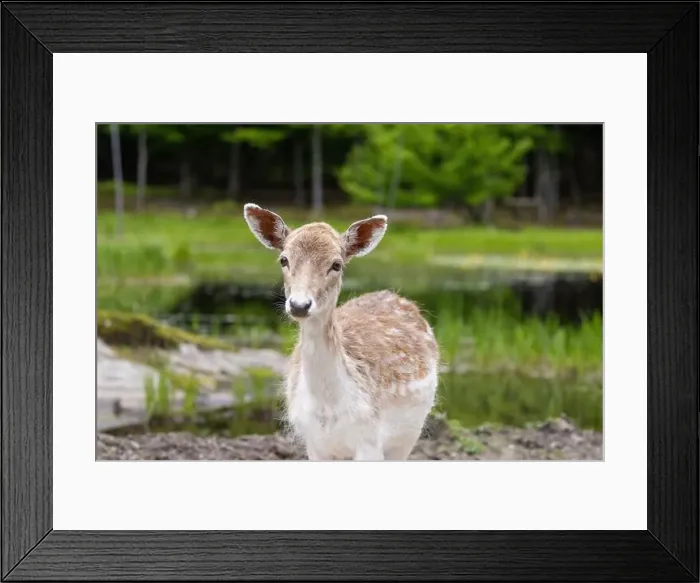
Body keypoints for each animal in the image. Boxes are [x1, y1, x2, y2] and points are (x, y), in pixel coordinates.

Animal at [243, 203, 440, 461]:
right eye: (283, 259)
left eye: (336, 264)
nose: (299, 305)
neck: (330, 411)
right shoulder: (314, 444)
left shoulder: (370, 440)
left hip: (409, 434)